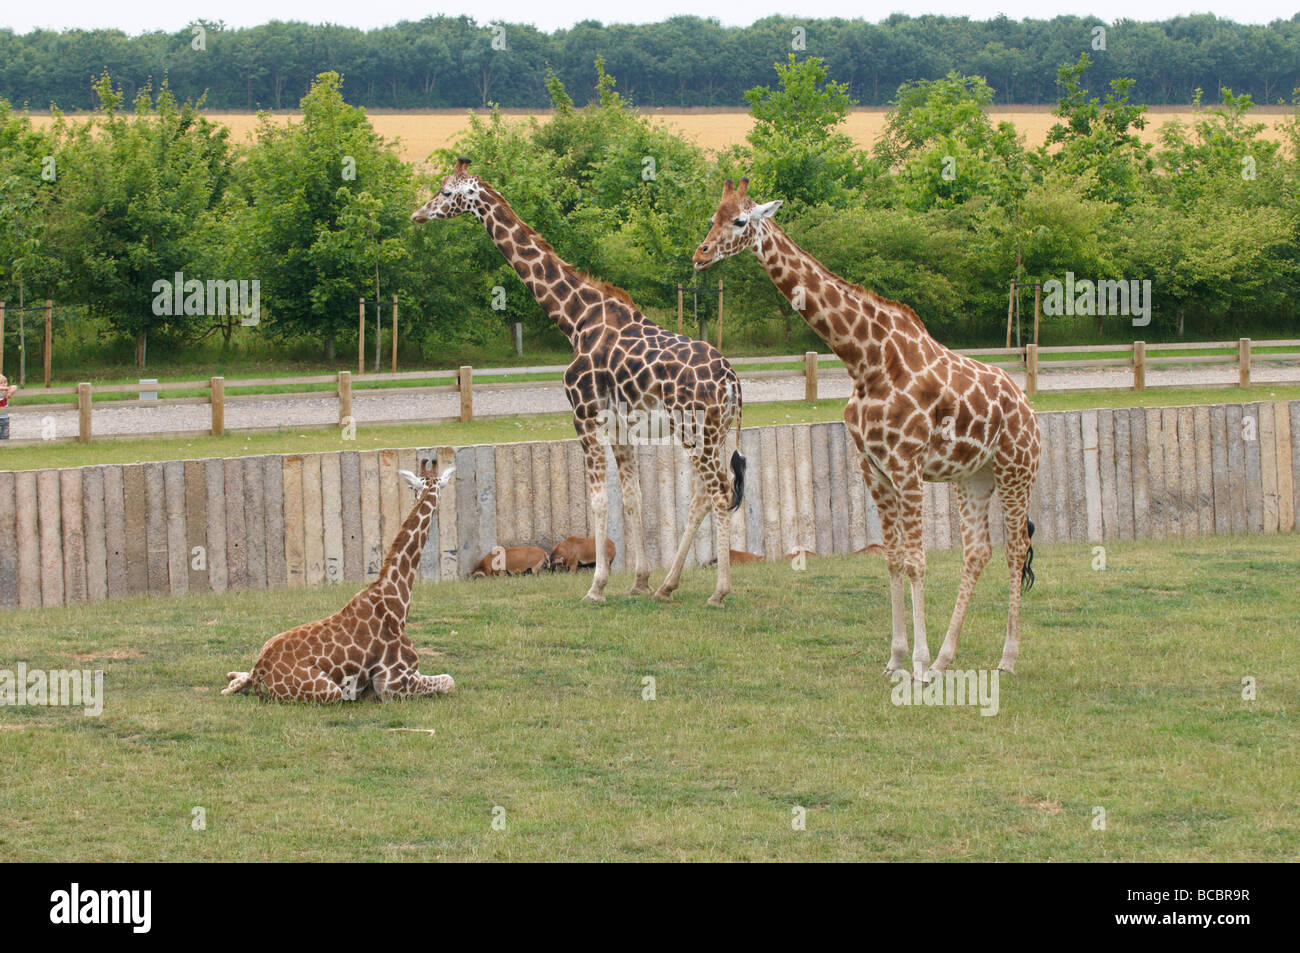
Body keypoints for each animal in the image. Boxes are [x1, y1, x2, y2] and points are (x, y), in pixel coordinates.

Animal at [222, 463, 457, 702]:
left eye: (414, 488)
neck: (395, 599)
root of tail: (261, 669)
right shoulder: (392, 684)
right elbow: (449, 680)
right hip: (329, 691)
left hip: (266, 644)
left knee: (238, 679)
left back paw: (232, 676)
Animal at [412, 158, 747, 606]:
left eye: (447, 192)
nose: (418, 214)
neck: (575, 319)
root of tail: (733, 383)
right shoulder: (621, 425)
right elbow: (632, 498)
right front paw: (639, 582)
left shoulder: (583, 414)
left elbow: (599, 500)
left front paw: (597, 586)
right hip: (712, 432)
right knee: (702, 496)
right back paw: (666, 585)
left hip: (697, 430)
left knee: (720, 492)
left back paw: (719, 592)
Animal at [694, 179, 1040, 679]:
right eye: (712, 218)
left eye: (740, 220)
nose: (700, 254)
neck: (866, 360)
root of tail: (1029, 407)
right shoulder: (872, 467)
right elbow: (893, 560)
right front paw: (897, 660)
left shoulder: (907, 467)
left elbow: (915, 561)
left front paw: (916, 664)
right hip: (974, 477)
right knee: (978, 552)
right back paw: (946, 658)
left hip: (1017, 470)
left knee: (1016, 549)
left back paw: (1006, 659)